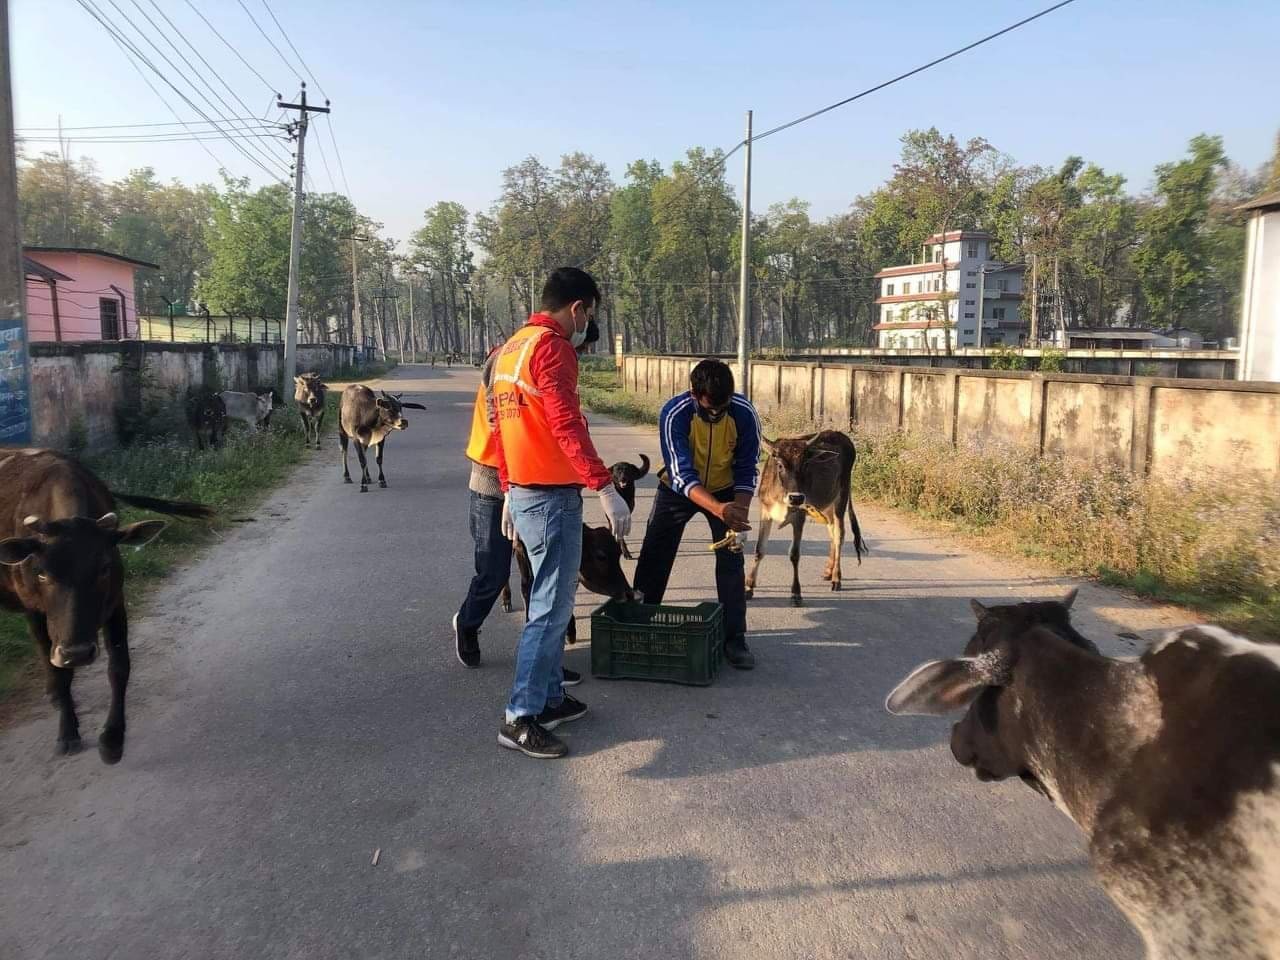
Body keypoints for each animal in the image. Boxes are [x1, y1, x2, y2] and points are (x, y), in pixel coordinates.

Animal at [0, 450, 212, 768]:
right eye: (41, 573)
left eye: (104, 568)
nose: (76, 653)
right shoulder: (35, 610)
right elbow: (60, 671)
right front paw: (68, 734)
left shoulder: (115, 602)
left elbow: (119, 666)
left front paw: (112, 740)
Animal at [742, 430, 870, 604]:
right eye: (780, 464)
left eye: (806, 464)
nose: (796, 498)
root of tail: (839, 434)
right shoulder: (766, 513)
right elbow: (759, 550)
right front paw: (749, 587)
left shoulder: (799, 517)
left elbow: (794, 554)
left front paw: (796, 593)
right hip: (827, 505)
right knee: (831, 531)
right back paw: (828, 571)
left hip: (841, 497)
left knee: (839, 535)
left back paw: (836, 577)